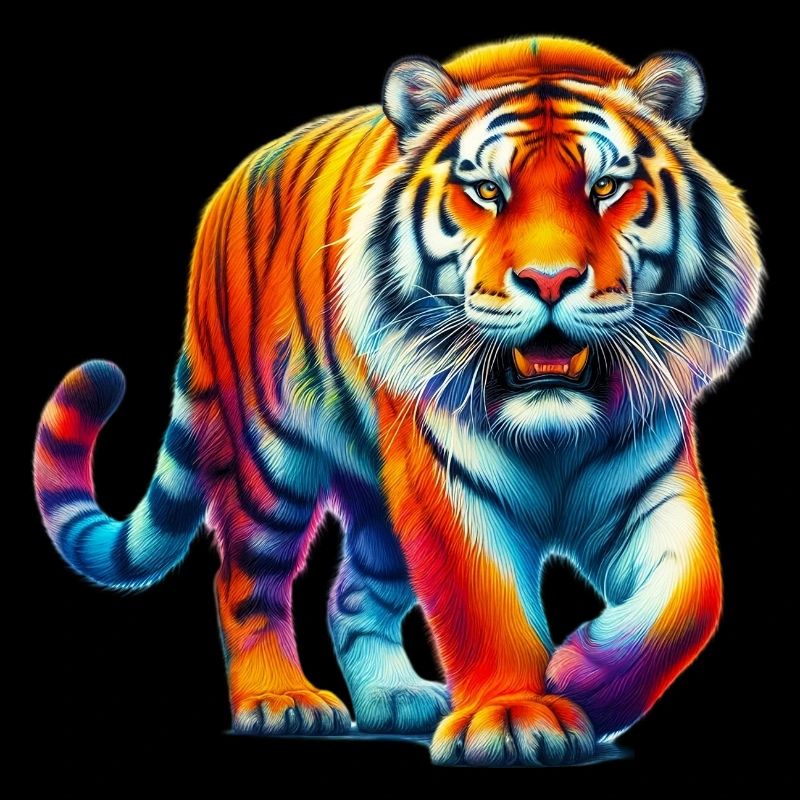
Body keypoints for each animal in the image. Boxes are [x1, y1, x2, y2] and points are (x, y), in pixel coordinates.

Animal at [33, 36, 762, 766]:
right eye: (487, 192)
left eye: (605, 187)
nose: (549, 280)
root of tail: (227, 190)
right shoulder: (445, 485)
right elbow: (483, 606)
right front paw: (517, 715)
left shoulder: (654, 480)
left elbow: (694, 599)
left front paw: (584, 681)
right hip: (270, 459)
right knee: (244, 579)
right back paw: (280, 701)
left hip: (378, 502)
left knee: (351, 592)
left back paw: (395, 698)